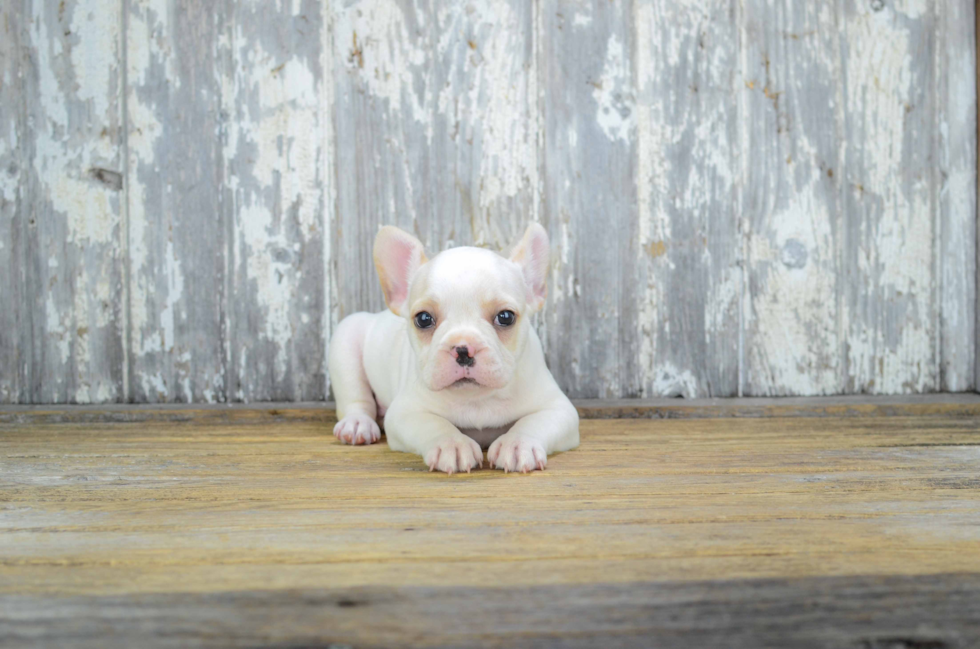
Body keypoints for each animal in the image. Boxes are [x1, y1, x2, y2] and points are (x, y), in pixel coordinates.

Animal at [330, 225, 580, 474]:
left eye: (506, 317)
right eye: (423, 319)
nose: (463, 349)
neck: (476, 399)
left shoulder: (558, 409)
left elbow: (533, 421)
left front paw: (518, 443)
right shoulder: (405, 412)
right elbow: (433, 423)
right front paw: (452, 444)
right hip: (346, 338)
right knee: (356, 400)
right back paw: (357, 424)